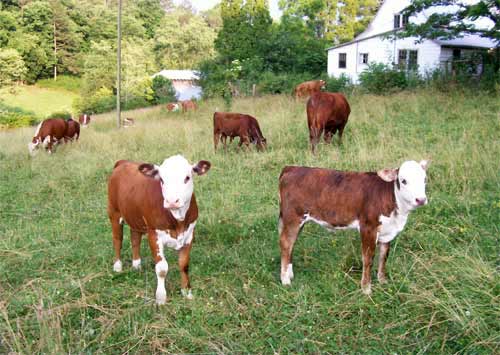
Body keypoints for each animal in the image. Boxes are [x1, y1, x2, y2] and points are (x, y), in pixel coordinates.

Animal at [107, 154, 211, 304]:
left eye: (187, 177)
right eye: (162, 179)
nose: (172, 201)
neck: (177, 220)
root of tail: (123, 162)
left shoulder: (189, 234)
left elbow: (184, 265)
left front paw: (187, 292)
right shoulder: (154, 234)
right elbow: (162, 268)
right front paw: (161, 297)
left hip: (134, 216)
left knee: (135, 238)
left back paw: (136, 265)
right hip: (114, 212)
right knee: (117, 239)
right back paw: (117, 266)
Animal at [278, 161, 430, 294]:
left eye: (424, 179)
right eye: (403, 180)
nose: (421, 200)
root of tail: (291, 168)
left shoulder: (387, 231)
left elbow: (383, 256)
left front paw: (382, 281)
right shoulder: (368, 227)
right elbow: (368, 259)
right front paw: (366, 289)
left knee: (291, 244)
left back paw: (290, 274)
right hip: (293, 217)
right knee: (286, 243)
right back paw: (285, 280)